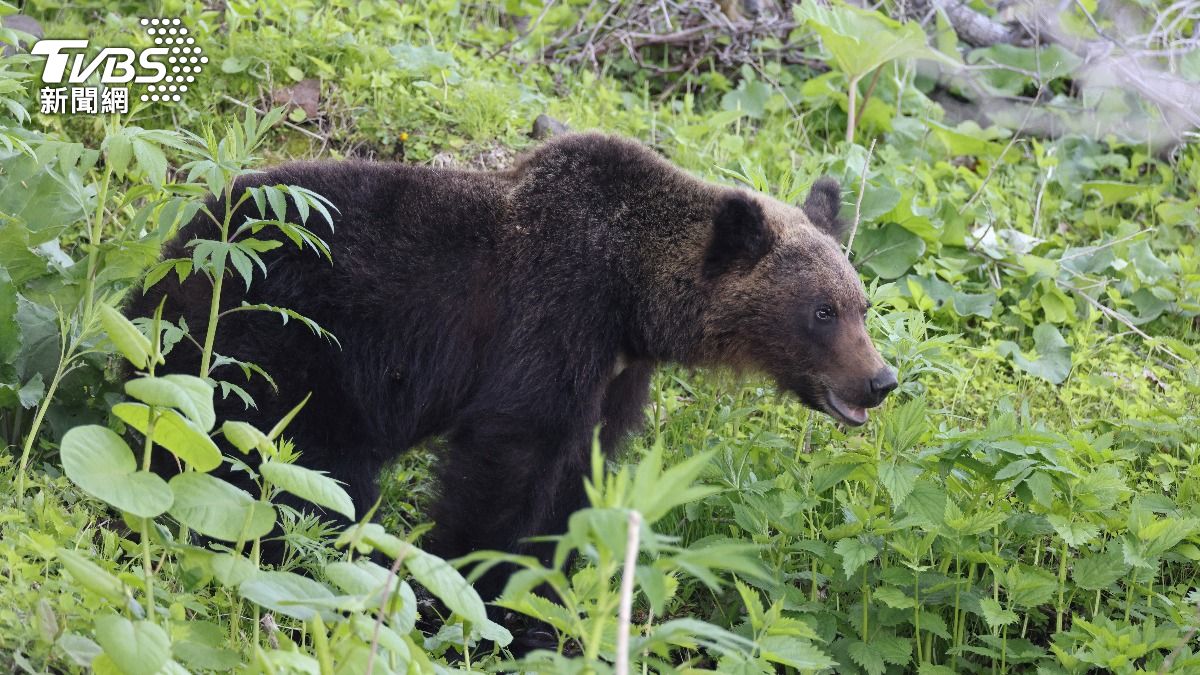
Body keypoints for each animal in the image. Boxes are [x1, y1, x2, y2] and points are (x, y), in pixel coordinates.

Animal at [128, 132, 896, 607]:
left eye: (860, 304)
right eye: (822, 311)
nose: (881, 380)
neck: (632, 300)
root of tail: (182, 246)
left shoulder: (613, 374)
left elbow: (578, 471)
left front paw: (542, 595)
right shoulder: (550, 315)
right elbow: (511, 455)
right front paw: (468, 583)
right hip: (280, 334)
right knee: (282, 457)